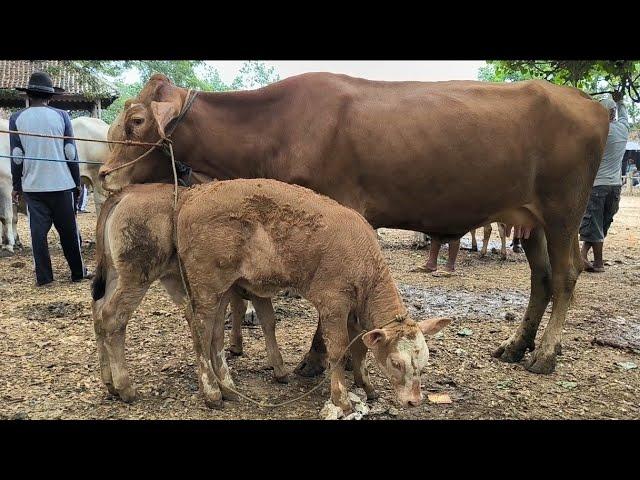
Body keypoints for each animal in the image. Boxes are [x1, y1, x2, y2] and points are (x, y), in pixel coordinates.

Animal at [100, 72, 608, 376]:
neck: (278, 127)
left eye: (137, 120)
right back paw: (516, 346)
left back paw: (544, 354)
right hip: (531, 220)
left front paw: (316, 359)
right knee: (542, 278)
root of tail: (590, 103)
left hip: (564, 212)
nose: (103, 174)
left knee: (566, 275)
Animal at [175, 178, 450, 414]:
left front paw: (367, 386)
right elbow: (338, 349)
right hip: (206, 282)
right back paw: (212, 393)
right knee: (200, 329)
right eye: (396, 363)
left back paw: (228, 387)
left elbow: (360, 348)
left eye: (424, 362)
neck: (365, 264)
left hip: (224, 285)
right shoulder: (333, 302)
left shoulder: (354, 311)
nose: (414, 401)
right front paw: (341, 399)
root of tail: (193, 197)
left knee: (216, 333)